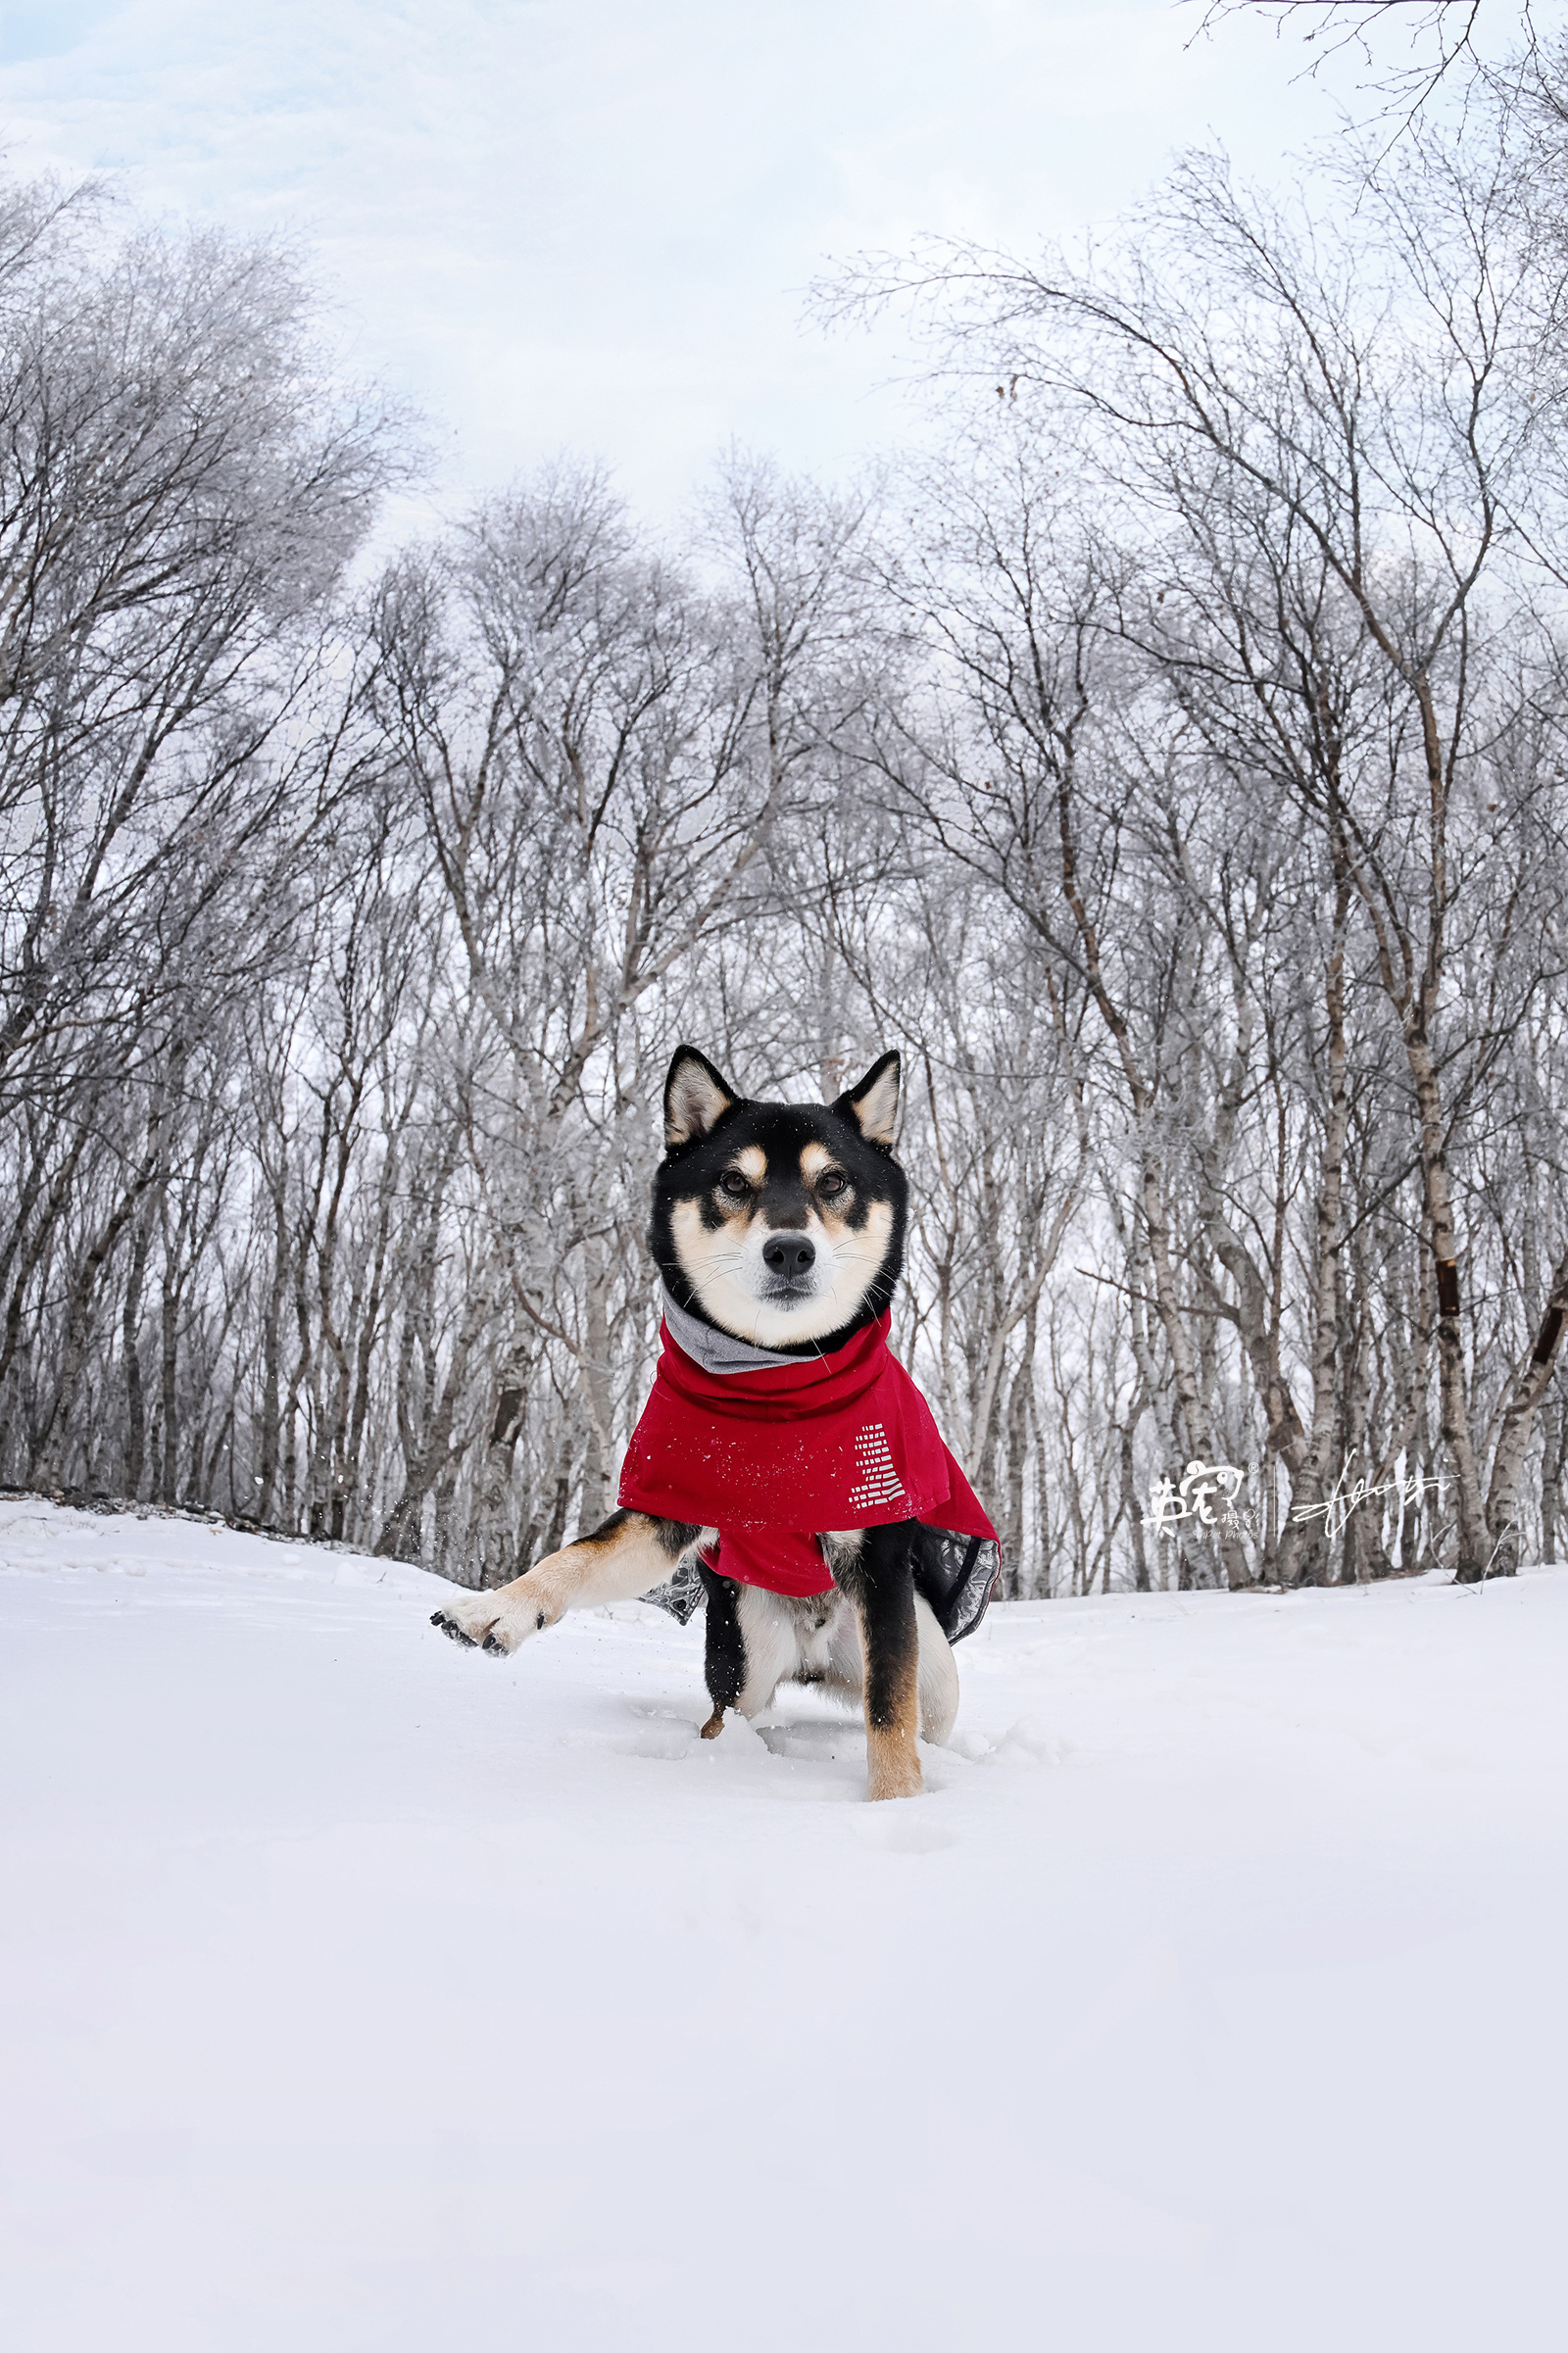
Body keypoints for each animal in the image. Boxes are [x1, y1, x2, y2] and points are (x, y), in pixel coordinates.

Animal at [433, 1049, 993, 1797]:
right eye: (733, 1180)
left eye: (833, 1181)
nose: (790, 1250)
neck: (778, 1388)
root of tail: (814, 1658)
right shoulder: (670, 1507)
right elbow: (575, 1555)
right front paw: (498, 1606)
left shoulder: (879, 1555)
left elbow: (889, 1712)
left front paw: (897, 1801)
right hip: (743, 1652)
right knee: (725, 1715)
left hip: (935, 1669)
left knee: (915, 1708)